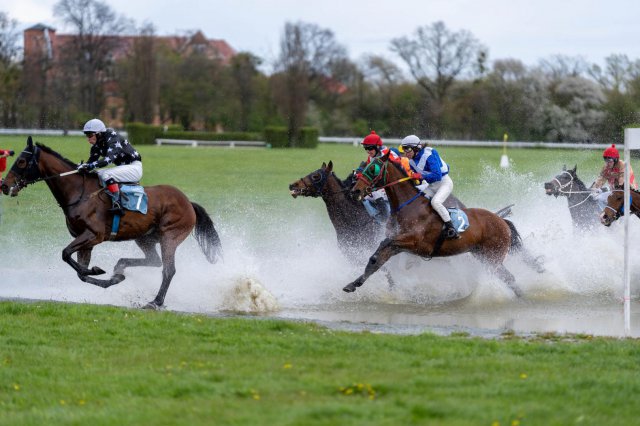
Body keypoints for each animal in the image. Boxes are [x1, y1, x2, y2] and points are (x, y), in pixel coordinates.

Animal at [1, 138, 222, 308]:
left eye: (21, 161)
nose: (4, 185)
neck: (80, 193)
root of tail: (188, 202)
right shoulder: (85, 240)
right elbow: (80, 272)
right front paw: (108, 276)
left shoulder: (94, 235)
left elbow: (66, 254)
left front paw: (98, 271)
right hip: (145, 238)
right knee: (154, 261)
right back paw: (121, 267)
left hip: (170, 236)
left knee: (168, 270)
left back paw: (155, 302)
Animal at [342, 153, 528, 296]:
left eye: (373, 168)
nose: (355, 191)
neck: (408, 206)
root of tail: (502, 221)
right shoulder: (398, 245)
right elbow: (377, 259)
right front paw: (353, 284)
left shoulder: (414, 242)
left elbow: (383, 246)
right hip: (483, 256)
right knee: (509, 278)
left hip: (492, 258)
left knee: (508, 278)